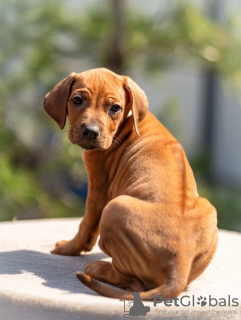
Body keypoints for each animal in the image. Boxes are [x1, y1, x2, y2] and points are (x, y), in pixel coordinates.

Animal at [43, 67, 218, 300]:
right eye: (77, 100)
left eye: (115, 108)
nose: (90, 131)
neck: (128, 120)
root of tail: (179, 263)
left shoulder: (98, 190)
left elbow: (86, 225)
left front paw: (68, 248)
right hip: (210, 210)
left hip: (114, 207)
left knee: (131, 282)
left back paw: (98, 268)